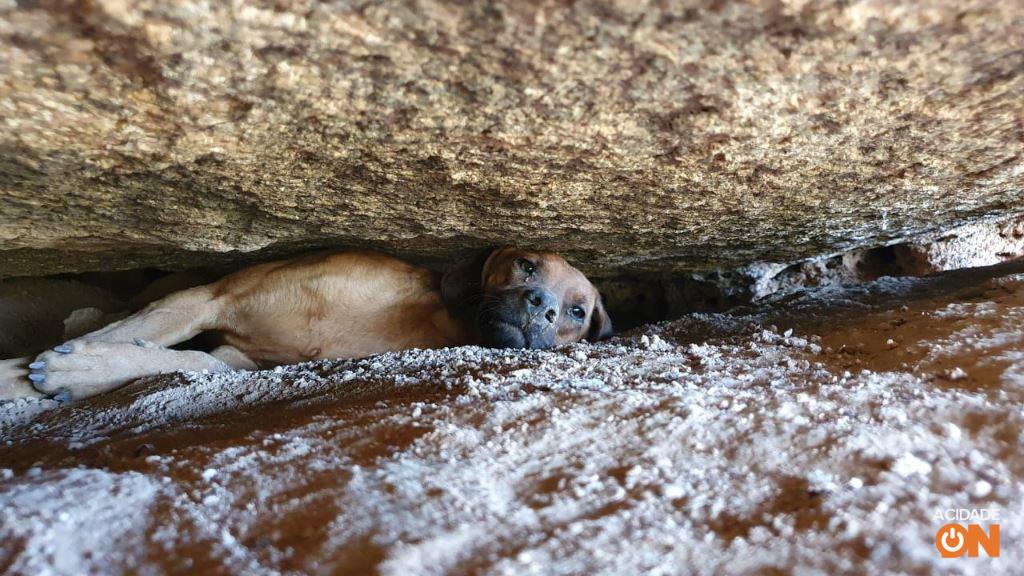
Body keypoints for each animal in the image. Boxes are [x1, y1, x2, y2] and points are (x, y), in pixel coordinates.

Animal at [0, 245, 606, 399]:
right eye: (526, 264)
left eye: (578, 312)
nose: (543, 306)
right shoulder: (208, 297)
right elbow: (127, 335)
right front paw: (32, 372)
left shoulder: (235, 358)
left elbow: (187, 359)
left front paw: (73, 372)